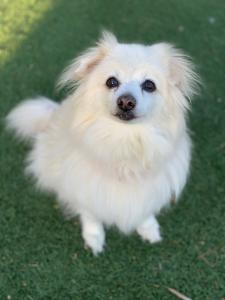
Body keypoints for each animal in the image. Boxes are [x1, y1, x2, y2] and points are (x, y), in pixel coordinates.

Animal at [6, 32, 199, 253]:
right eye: (111, 82)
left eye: (149, 85)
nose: (126, 102)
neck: (125, 140)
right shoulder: (84, 186)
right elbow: (91, 215)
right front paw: (94, 239)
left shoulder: (149, 189)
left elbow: (144, 210)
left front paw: (149, 229)